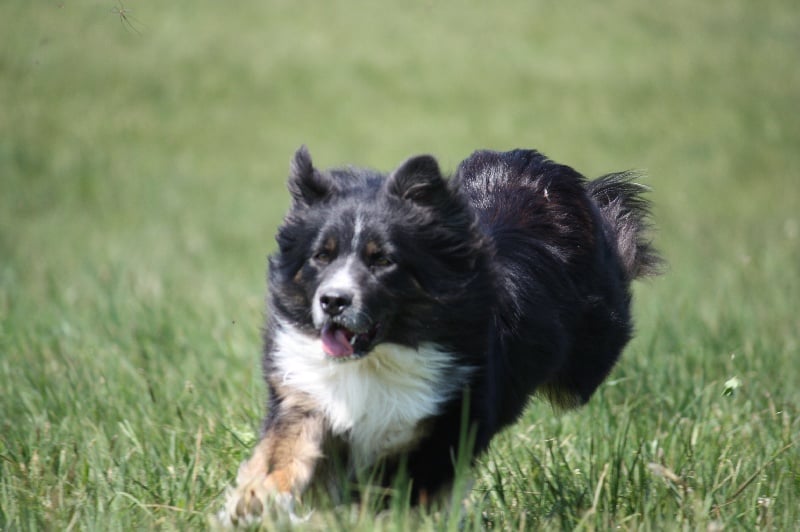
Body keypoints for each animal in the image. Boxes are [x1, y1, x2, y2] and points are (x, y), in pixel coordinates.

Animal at [218, 146, 660, 526]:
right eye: (321, 256)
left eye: (382, 260)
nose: (332, 301)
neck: (380, 356)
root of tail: (540, 164)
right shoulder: (307, 394)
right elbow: (283, 452)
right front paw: (250, 502)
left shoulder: (448, 419)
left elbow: (397, 488)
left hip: (587, 360)